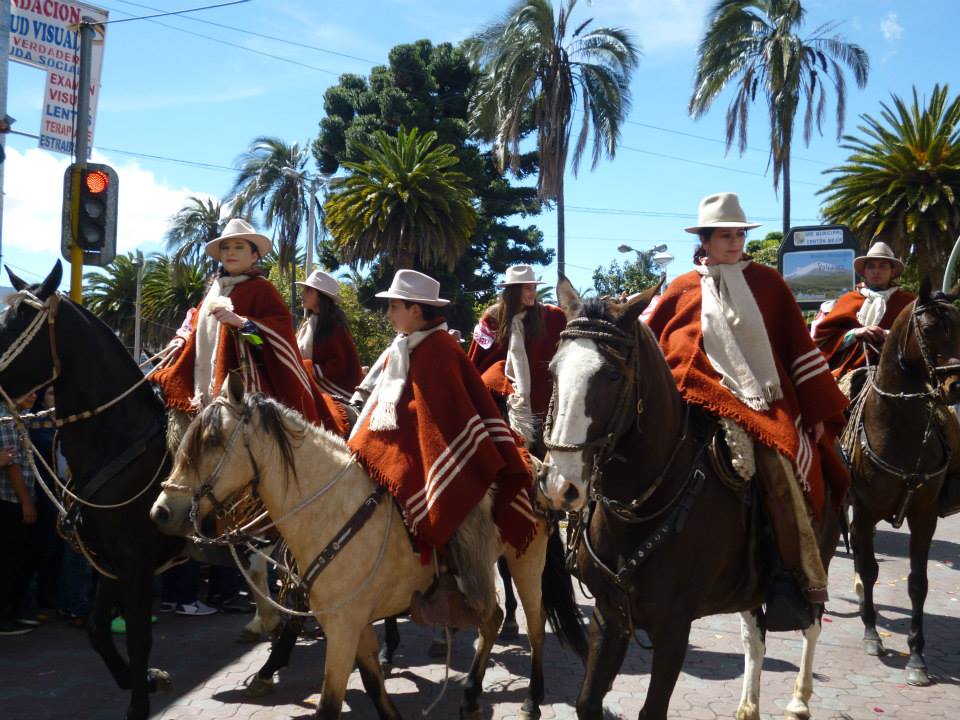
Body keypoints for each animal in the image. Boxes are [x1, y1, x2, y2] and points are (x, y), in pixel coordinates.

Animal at [152, 376, 584, 720]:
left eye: (211, 440)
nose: (162, 511)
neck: (330, 507)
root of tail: (538, 467)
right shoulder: (353, 625)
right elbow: (375, 687)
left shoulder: (343, 628)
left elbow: (329, 705)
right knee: (492, 618)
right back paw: (471, 695)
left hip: (525, 560)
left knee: (533, 627)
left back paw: (531, 699)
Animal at [540, 280, 840, 720]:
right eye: (552, 370)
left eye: (611, 373)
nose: (561, 484)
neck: (642, 508)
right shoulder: (608, 617)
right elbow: (587, 702)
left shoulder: (674, 627)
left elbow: (652, 710)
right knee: (754, 635)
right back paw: (749, 705)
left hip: (817, 554)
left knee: (812, 621)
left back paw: (799, 701)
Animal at [848, 278, 960, 688]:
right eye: (928, 328)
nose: (956, 384)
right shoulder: (864, 512)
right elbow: (869, 569)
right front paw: (871, 635)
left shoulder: (924, 516)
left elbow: (918, 583)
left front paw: (916, 656)